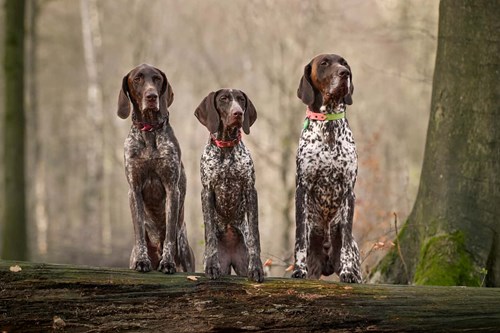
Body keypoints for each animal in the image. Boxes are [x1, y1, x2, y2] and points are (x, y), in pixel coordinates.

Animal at [117, 63, 195, 274]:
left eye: (157, 78)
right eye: (137, 78)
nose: (151, 96)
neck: (150, 130)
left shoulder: (172, 189)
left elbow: (169, 234)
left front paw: (167, 263)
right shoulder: (134, 189)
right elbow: (139, 232)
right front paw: (142, 261)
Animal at [194, 89, 266, 282]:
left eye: (241, 100)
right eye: (223, 99)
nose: (238, 113)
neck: (226, 147)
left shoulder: (250, 191)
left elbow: (255, 235)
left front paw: (257, 268)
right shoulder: (207, 192)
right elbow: (210, 233)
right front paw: (211, 266)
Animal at [292, 53, 362, 282]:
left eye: (345, 63)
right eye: (324, 63)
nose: (345, 73)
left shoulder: (349, 192)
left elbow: (347, 239)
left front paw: (347, 273)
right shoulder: (302, 190)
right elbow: (299, 239)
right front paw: (298, 270)